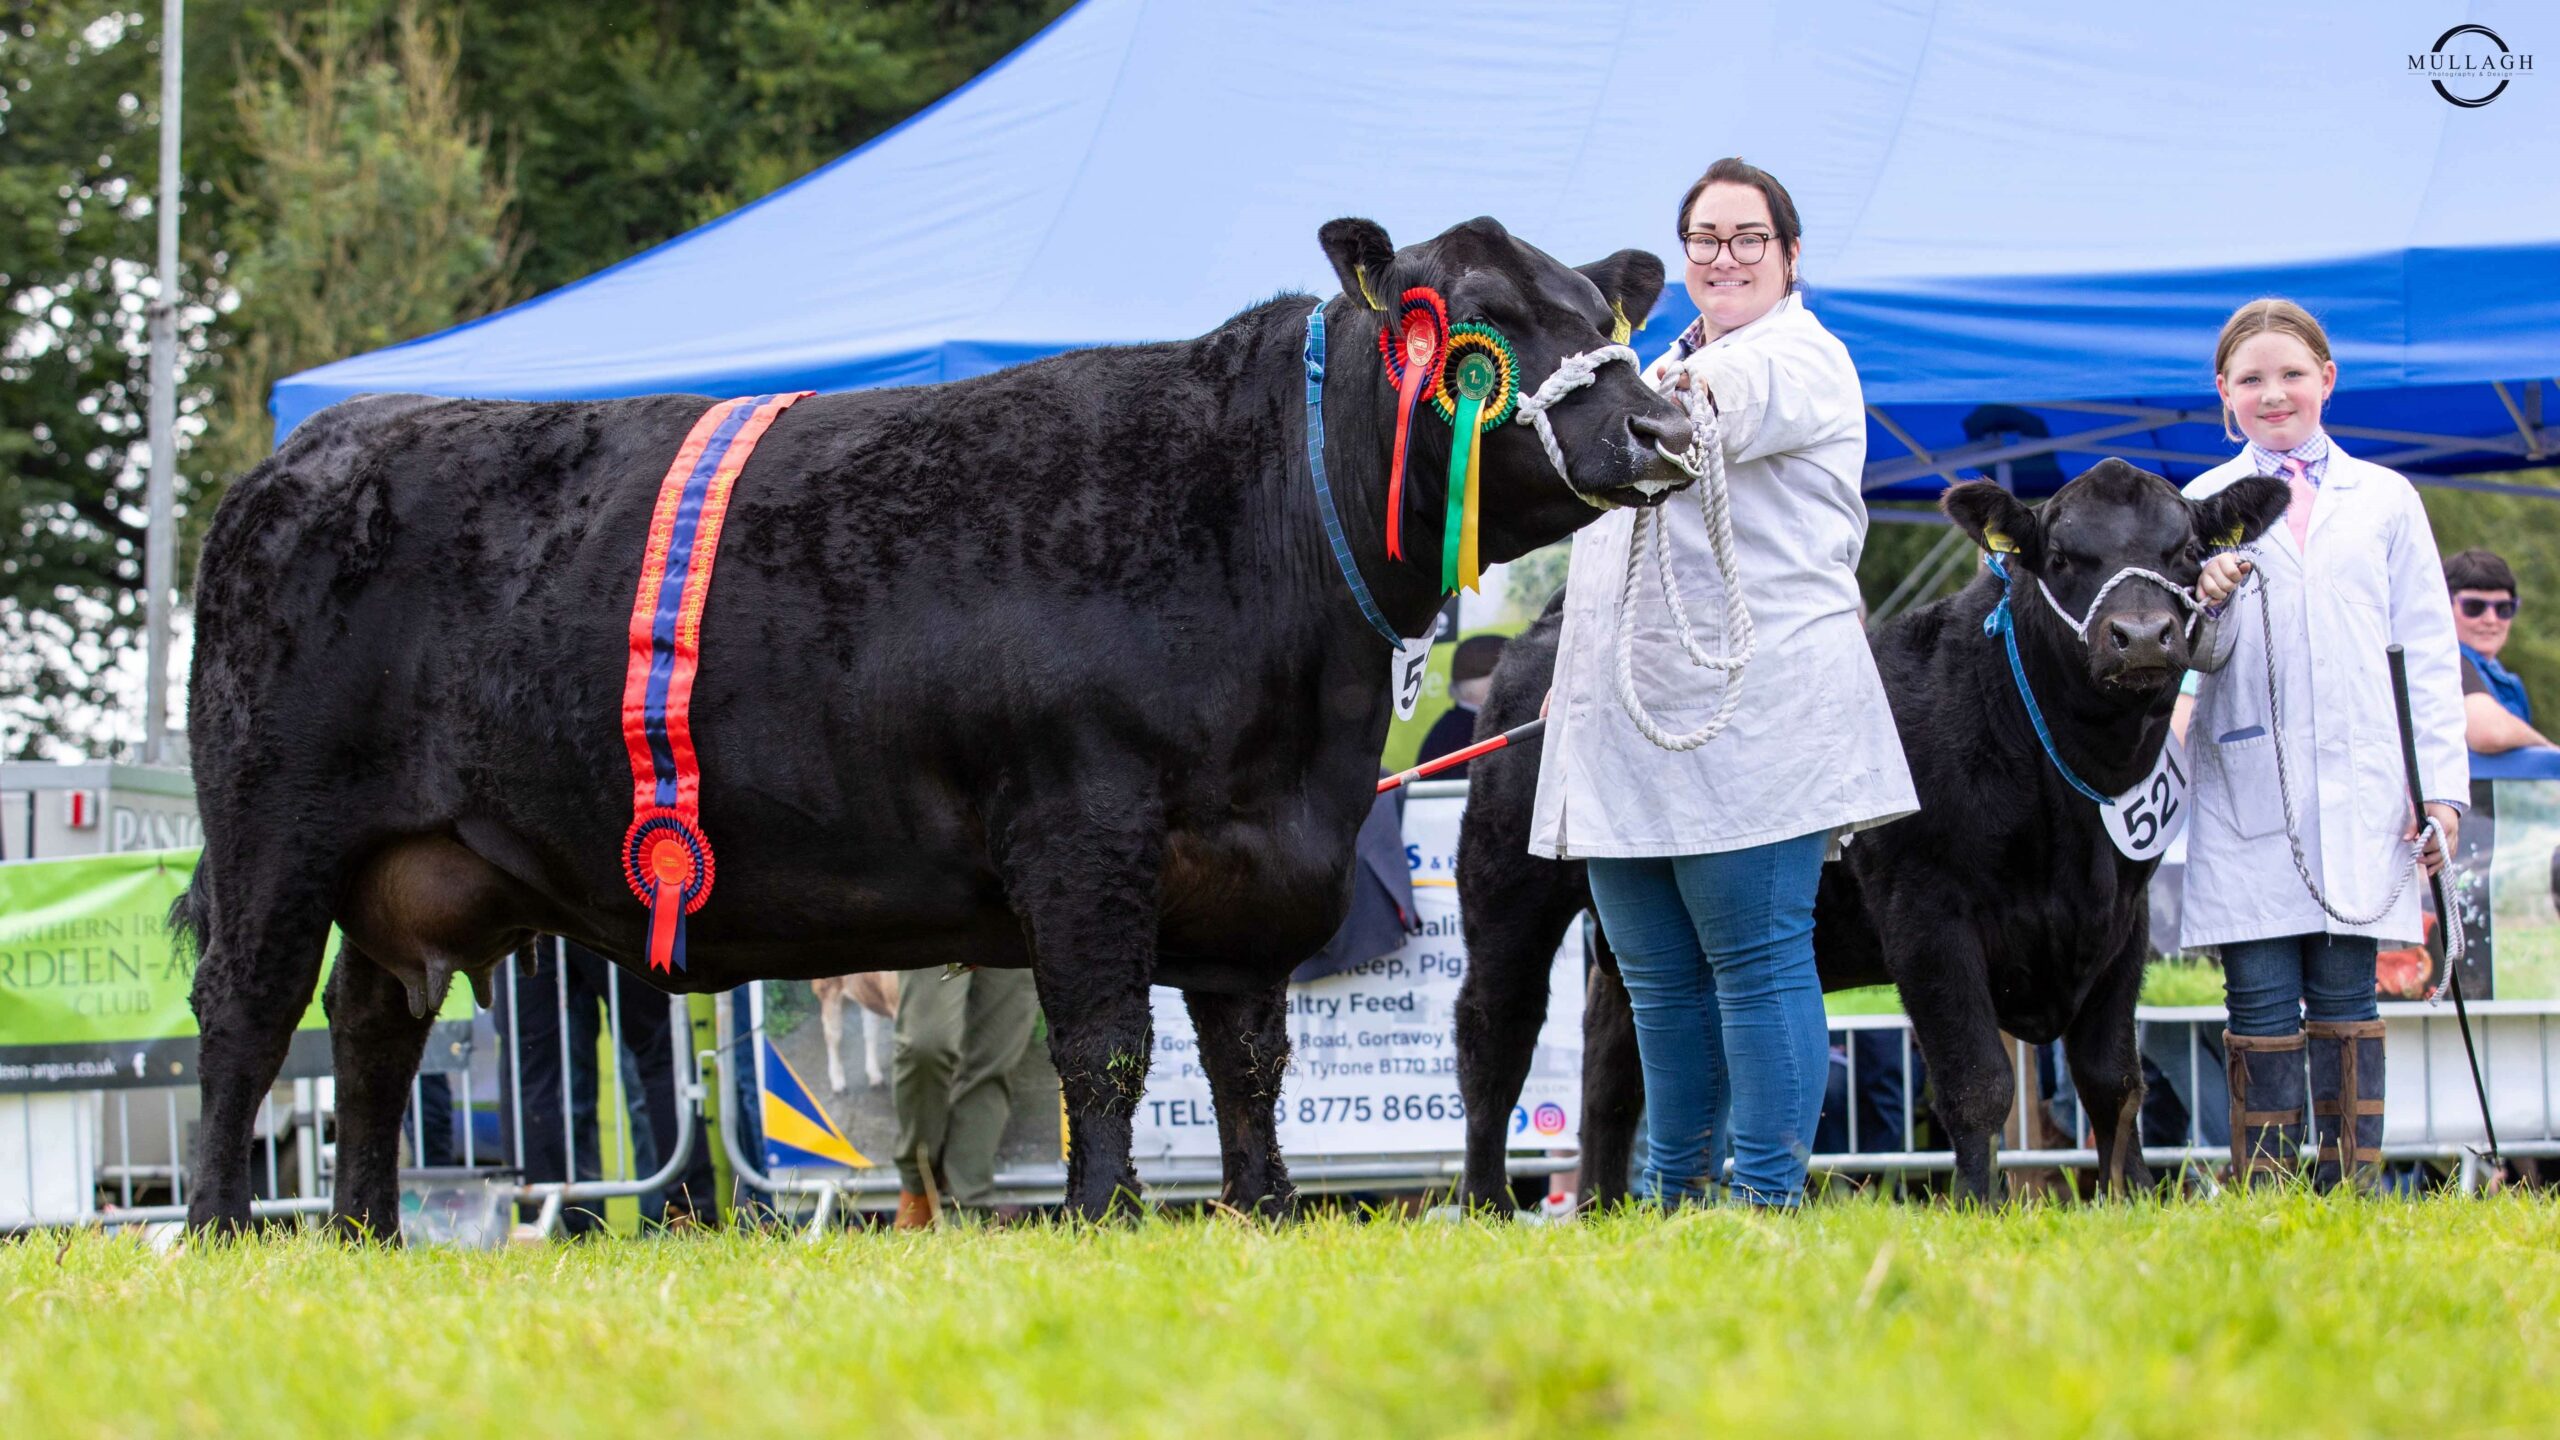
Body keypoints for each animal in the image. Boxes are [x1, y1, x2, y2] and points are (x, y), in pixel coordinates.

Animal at [180, 215, 1699, 1235]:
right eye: (1482, 318)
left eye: (1598, 307)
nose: (1663, 428)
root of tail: (309, 454)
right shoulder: (1083, 823)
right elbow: (1106, 1042)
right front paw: (1106, 1215)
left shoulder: (1253, 862)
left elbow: (1247, 1058)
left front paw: (1262, 1210)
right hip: (274, 823)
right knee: (248, 1011)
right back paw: (219, 1231)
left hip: (410, 869)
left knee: (371, 1026)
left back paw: (364, 1234)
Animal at [1454, 458, 2293, 1199]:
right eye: (2060, 557)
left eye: (2184, 552)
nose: (2141, 635)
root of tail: (1550, 629)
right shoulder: (1927, 914)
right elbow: (1978, 1083)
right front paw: (1982, 1207)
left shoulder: (2122, 918)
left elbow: (2114, 1080)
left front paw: (2135, 1200)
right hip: (1506, 884)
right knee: (1494, 1034)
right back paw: (1488, 1203)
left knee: (1615, 1066)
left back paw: (1605, 1206)